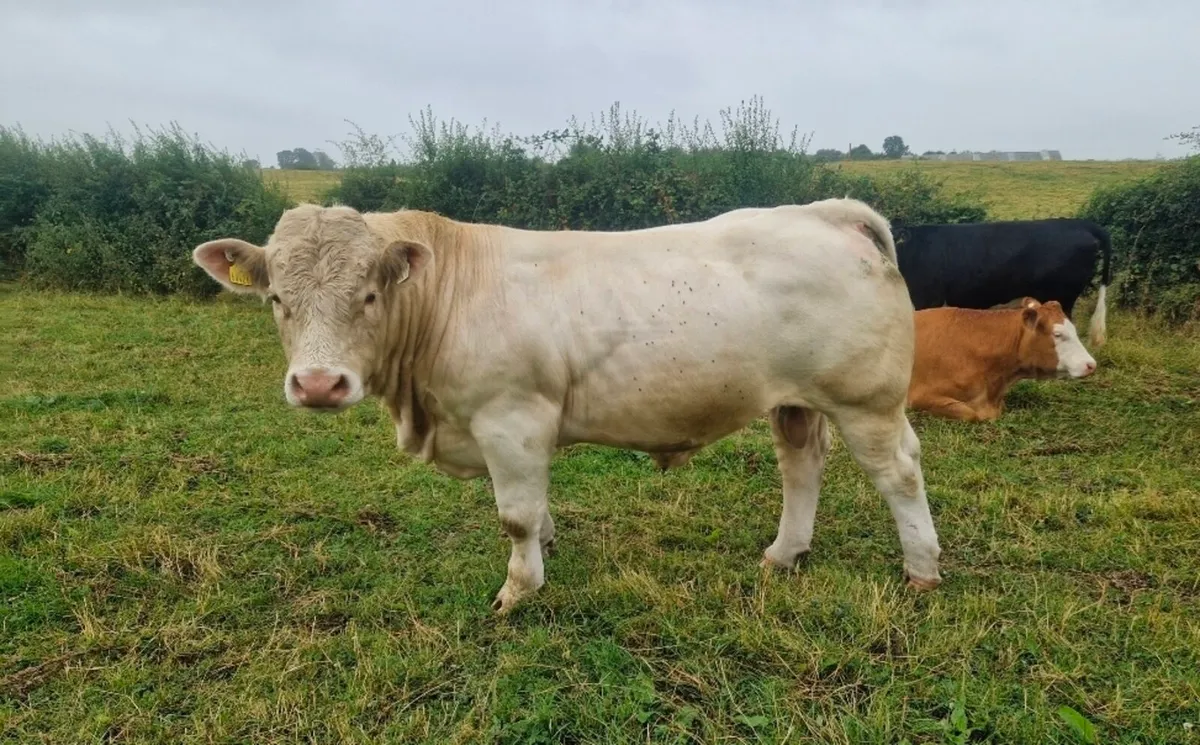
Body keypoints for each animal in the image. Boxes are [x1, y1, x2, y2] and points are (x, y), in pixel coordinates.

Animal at [190, 198, 943, 614]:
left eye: (370, 295)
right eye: (277, 298)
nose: (319, 384)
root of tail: (827, 212)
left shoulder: (510, 415)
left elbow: (514, 515)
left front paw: (520, 588)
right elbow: (534, 507)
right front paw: (547, 544)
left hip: (866, 399)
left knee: (899, 474)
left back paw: (922, 569)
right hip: (795, 400)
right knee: (802, 465)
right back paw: (784, 554)